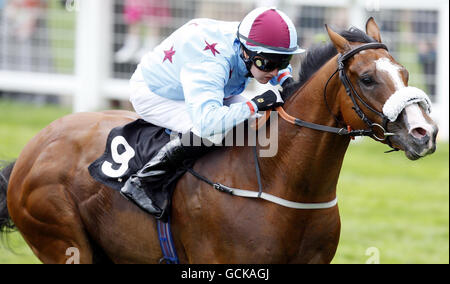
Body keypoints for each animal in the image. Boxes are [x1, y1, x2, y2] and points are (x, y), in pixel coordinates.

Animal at [0, 18, 436, 264]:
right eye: (367, 78)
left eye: (405, 72)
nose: (425, 133)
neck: (278, 179)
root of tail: (30, 151)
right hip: (62, 241)